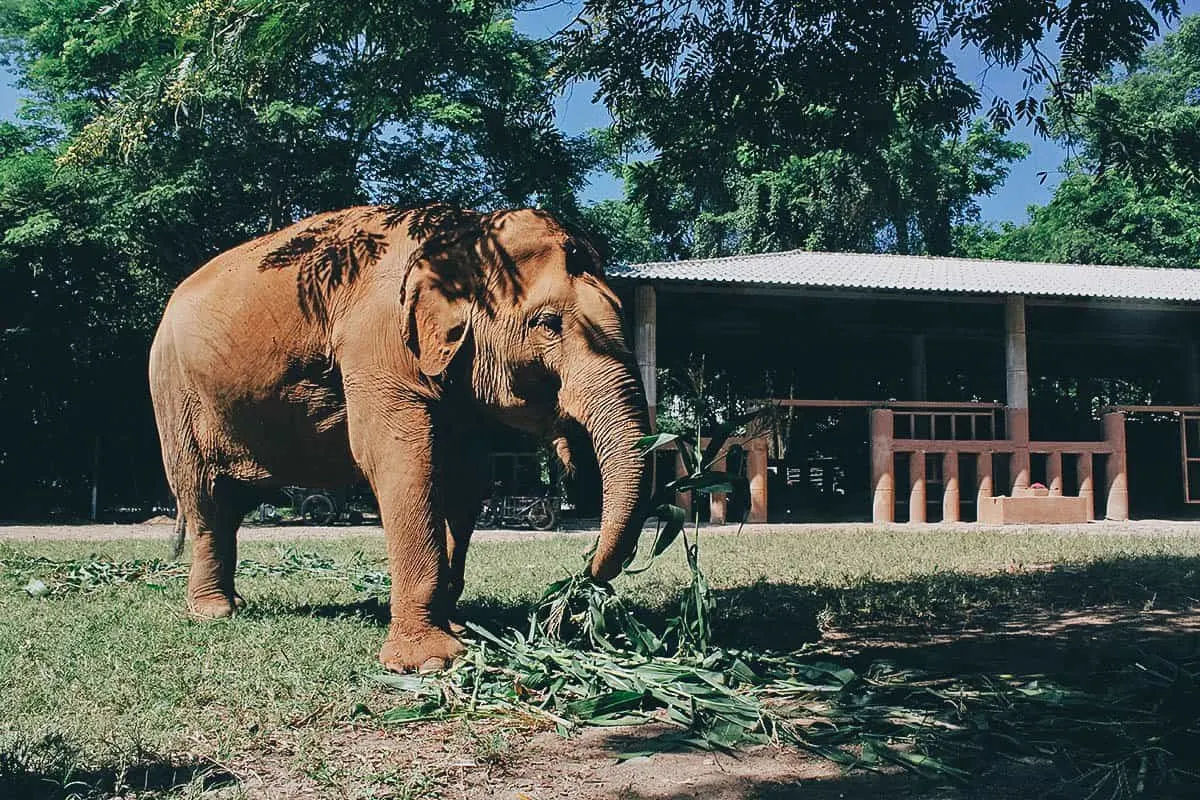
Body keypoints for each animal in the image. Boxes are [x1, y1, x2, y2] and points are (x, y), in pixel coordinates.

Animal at [151, 205, 657, 671]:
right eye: (548, 323)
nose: (586, 576)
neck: (466, 232)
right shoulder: (376, 341)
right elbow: (403, 460)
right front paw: (429, 662)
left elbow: (463, 481)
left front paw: (456, 628)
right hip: (175, 397)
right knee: (206, 499)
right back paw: (214, 611)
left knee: (232, 505)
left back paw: (231, 600)